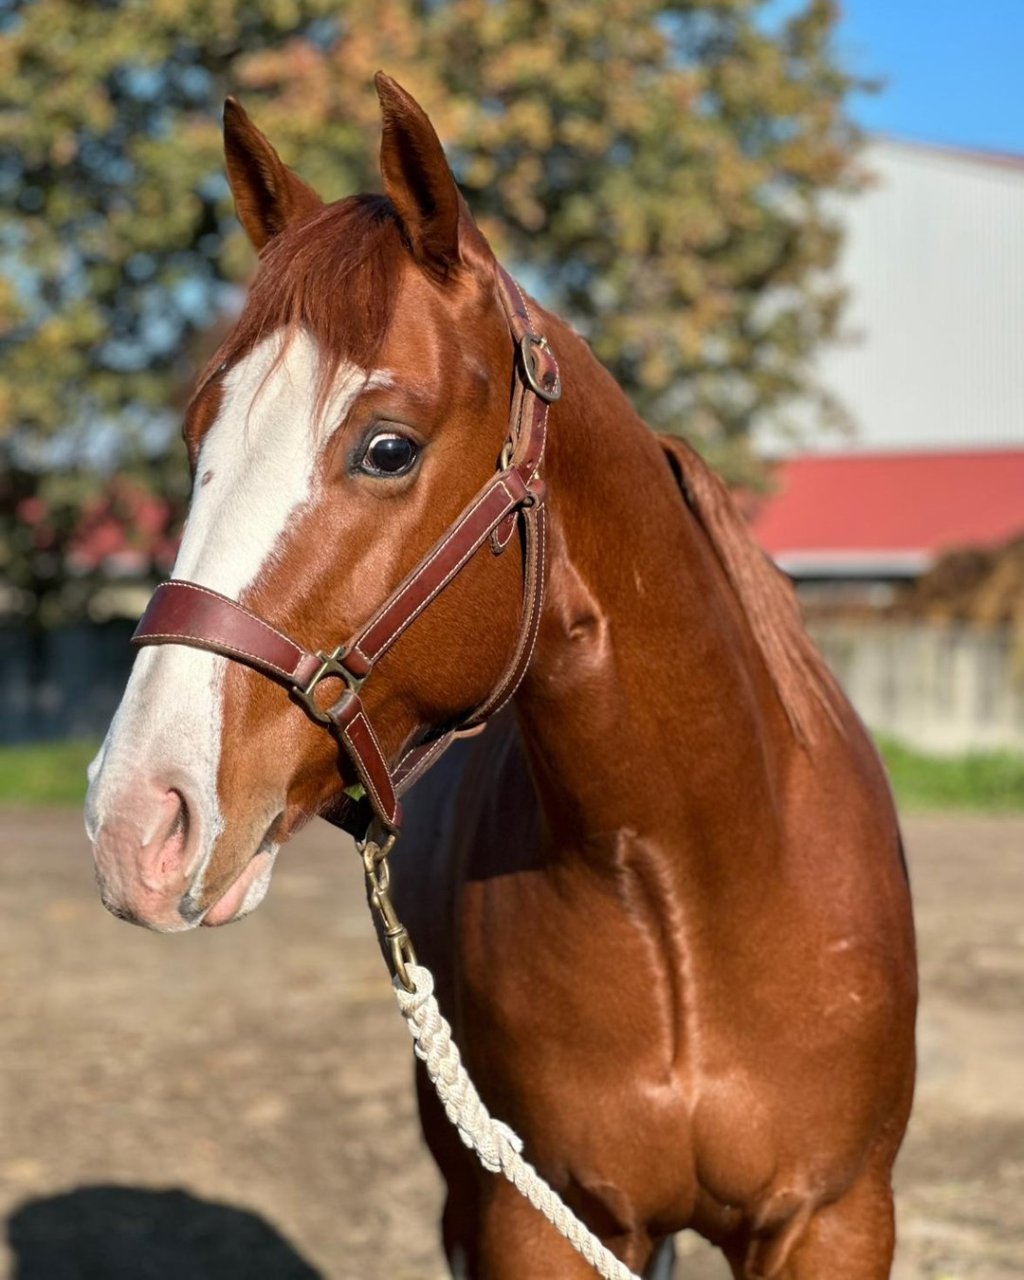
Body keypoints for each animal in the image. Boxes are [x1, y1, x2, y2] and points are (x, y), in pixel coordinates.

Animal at [85, 74, 917, 1279]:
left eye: (386, 448)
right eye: (199, 437)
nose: (135, 821)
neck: (694, 882)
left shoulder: (836, 1216)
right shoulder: (535, 1217)